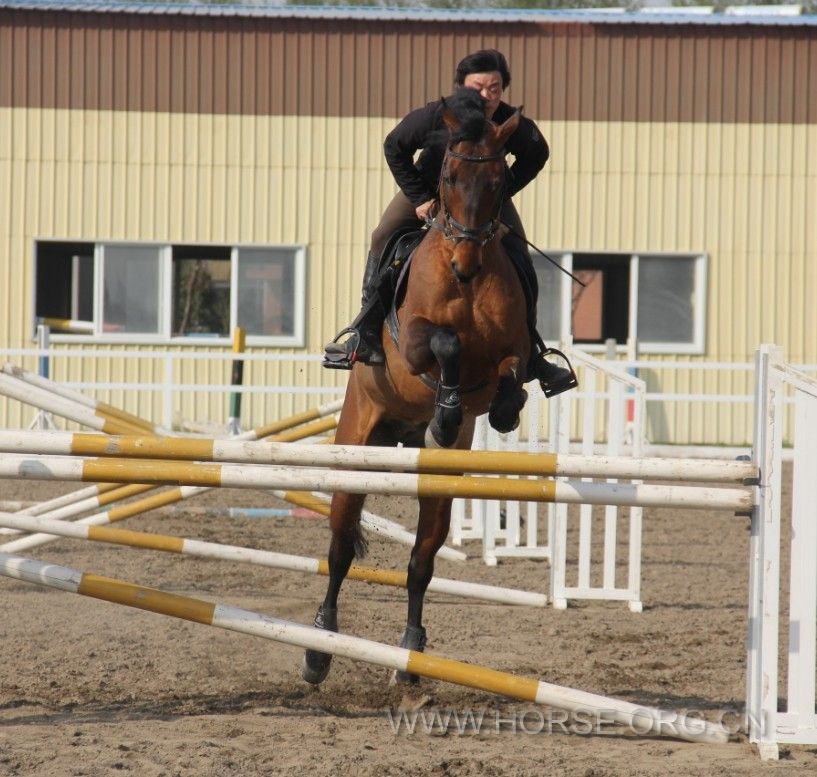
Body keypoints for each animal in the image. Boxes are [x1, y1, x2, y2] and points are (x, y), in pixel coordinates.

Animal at [304, 92, 528, 684]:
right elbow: (445, 345)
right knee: (339, 550)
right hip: (354, 452)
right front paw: (447, 409)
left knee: (421, 560)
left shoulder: (513, 349)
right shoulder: (414, 344)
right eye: (447, 174)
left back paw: (409, 652)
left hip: (437, 483)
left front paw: (497, 409)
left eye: (499, 179)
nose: (466, 264)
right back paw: (318, 647)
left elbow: (510, 370)